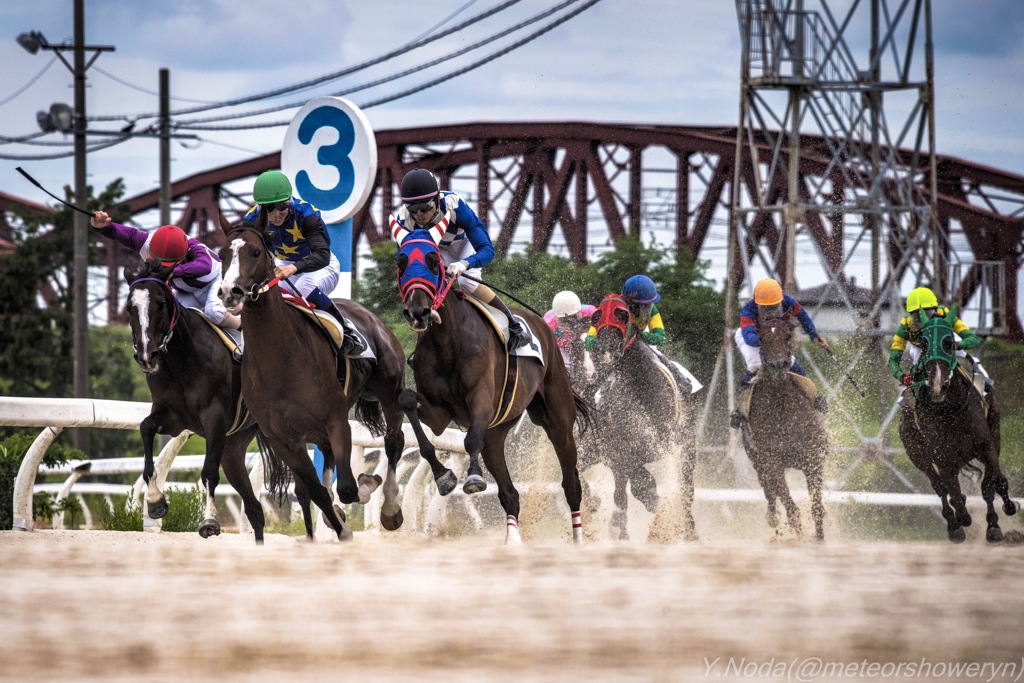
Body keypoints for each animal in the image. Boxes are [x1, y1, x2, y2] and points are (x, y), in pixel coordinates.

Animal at [126, 262, 292, 544]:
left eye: (160, 303)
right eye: (129, 307)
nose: (147, 356)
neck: (181, 359)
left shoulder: (214, 417)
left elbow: (209, 472)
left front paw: (210, 521)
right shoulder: (171, 415)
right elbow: (146, 429)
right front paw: (156, 502)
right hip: (234, 446)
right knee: (254, 509)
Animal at [218, 219, 430, 540]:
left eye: (255, 252)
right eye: (221, 254)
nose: (230, 291)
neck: (279, 358)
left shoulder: (336, 420)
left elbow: (348, 488)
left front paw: (364, 490)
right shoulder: (283, 439)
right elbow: (317, 491)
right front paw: (340, 526)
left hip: (389, 391)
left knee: (394, 442)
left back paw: (391, 509)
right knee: (330, 461)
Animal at [581, 296, 700, 540]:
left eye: (623, 314)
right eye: (596, 317)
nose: (607, 350)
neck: (642, 391)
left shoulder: (673, 444)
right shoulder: (621, 452)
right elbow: (636, 489)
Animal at [897, 307, 1015, 540]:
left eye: (949, 342)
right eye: (924, 344)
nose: (937, 387)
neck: (949, 410)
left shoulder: (987, 445)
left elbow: (992, 483)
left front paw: (997, 521)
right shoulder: (944, 458)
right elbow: (953, 492)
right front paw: (962, 518)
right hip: (916, 453)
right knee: (940, 487)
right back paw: (954, 526)